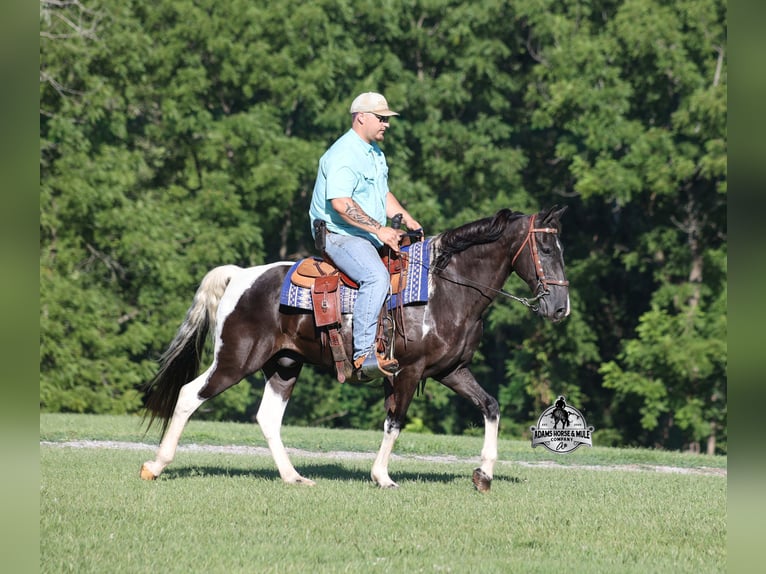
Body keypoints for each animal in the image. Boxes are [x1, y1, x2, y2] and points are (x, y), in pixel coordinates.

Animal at [140, 206, 570, 492]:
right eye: (547, 249)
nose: (560, 308)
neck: (445, 289)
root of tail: (242, 276)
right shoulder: (408, 371)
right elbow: (395, 421)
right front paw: (382, 477)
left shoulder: (452, 370)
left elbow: (490, 407)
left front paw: (484, 475)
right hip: (234, 360)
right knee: (188, 395)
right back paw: (156, 466)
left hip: (284, 366)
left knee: (267, 418)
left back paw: (293, 477)